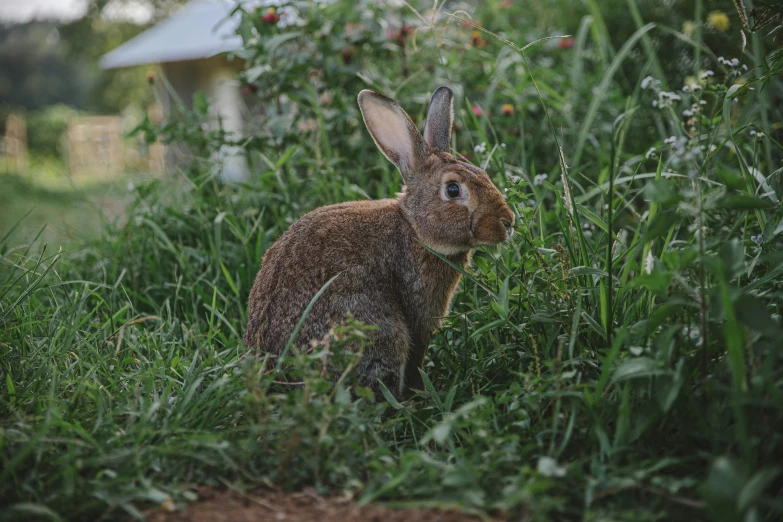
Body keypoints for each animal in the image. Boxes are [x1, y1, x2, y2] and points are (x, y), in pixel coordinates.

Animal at [243, 86, 516, 398]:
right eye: (453, 190)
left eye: (483, 174)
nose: (508, 222)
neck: (413, 228)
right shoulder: (419, 315)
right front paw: (420, 391)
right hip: (376, 329)